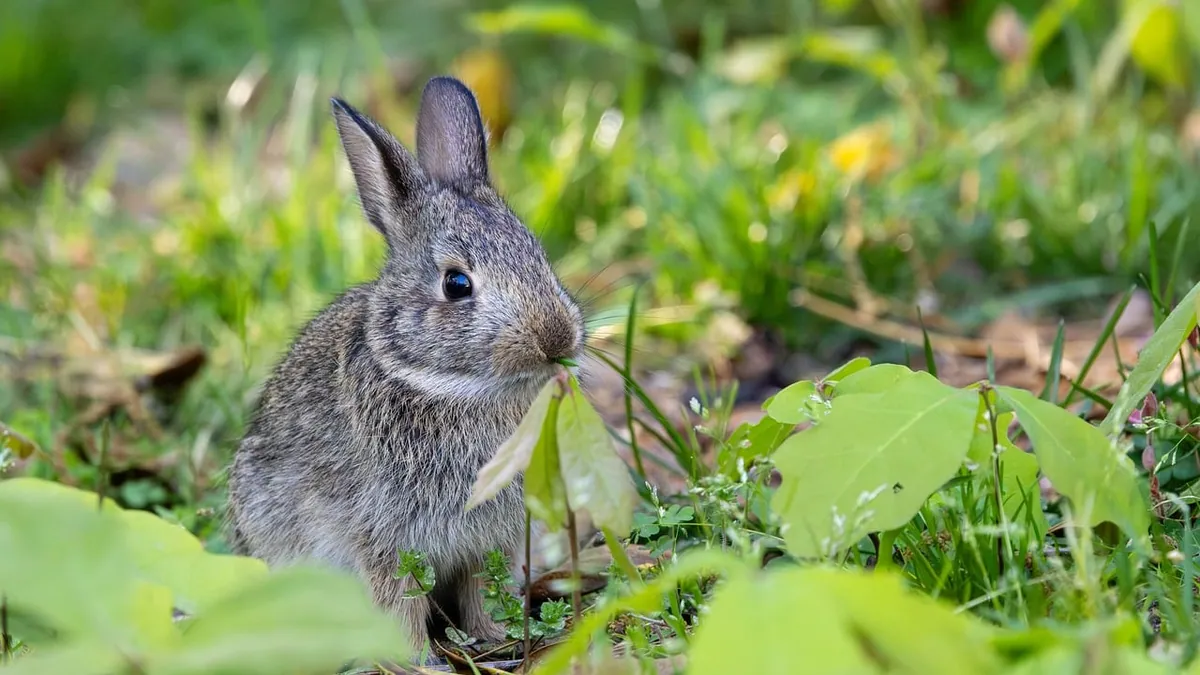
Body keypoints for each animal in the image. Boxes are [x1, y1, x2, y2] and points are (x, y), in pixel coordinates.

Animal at [224, 75, 586, 660]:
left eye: (539, 255)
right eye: (456, 284)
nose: (556, 339)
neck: (451, 386)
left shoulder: (486, 541)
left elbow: (479, 590)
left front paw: (495, 638)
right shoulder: (384, 537)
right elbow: (401, 602)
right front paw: (419, 659)